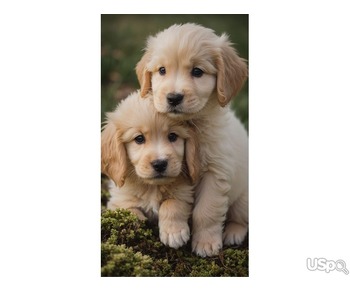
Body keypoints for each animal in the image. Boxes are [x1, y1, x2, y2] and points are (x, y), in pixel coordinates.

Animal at [101, 91, 200, 249]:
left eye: (172, 136)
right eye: (139, 138)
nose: (160, 164)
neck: (152, 187)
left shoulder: (185, 192)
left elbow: (172, 203)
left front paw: (174, 232)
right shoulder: (118, 202)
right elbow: (130, 210)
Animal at [135, 22, 247, 256]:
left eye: (197, 71)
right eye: (162, 70)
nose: (173, 98)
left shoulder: (216, 172)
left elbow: (206, 211)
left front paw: (205, 243)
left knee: (241, 218)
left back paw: (233, 232)